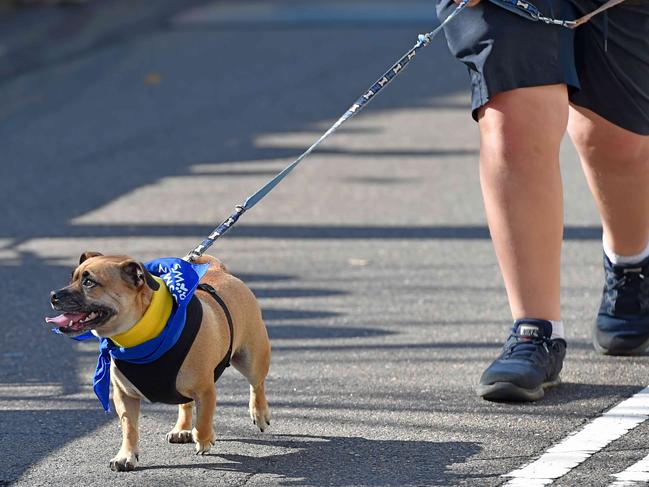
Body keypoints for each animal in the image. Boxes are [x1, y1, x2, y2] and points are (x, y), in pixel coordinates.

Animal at [48, 254, 270, 470]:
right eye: (72, 278)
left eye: (89, 282)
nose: (53, 295)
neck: (139, 338)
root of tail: (220, 271)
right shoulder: (125, 396)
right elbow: (129, 428)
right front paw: (126, 456)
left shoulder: (205, 391)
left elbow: (204, 421)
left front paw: (205, 439)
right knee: (185, 402)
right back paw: (182, 429)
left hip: (251, 359)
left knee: (256, 385)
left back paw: (259, 413)